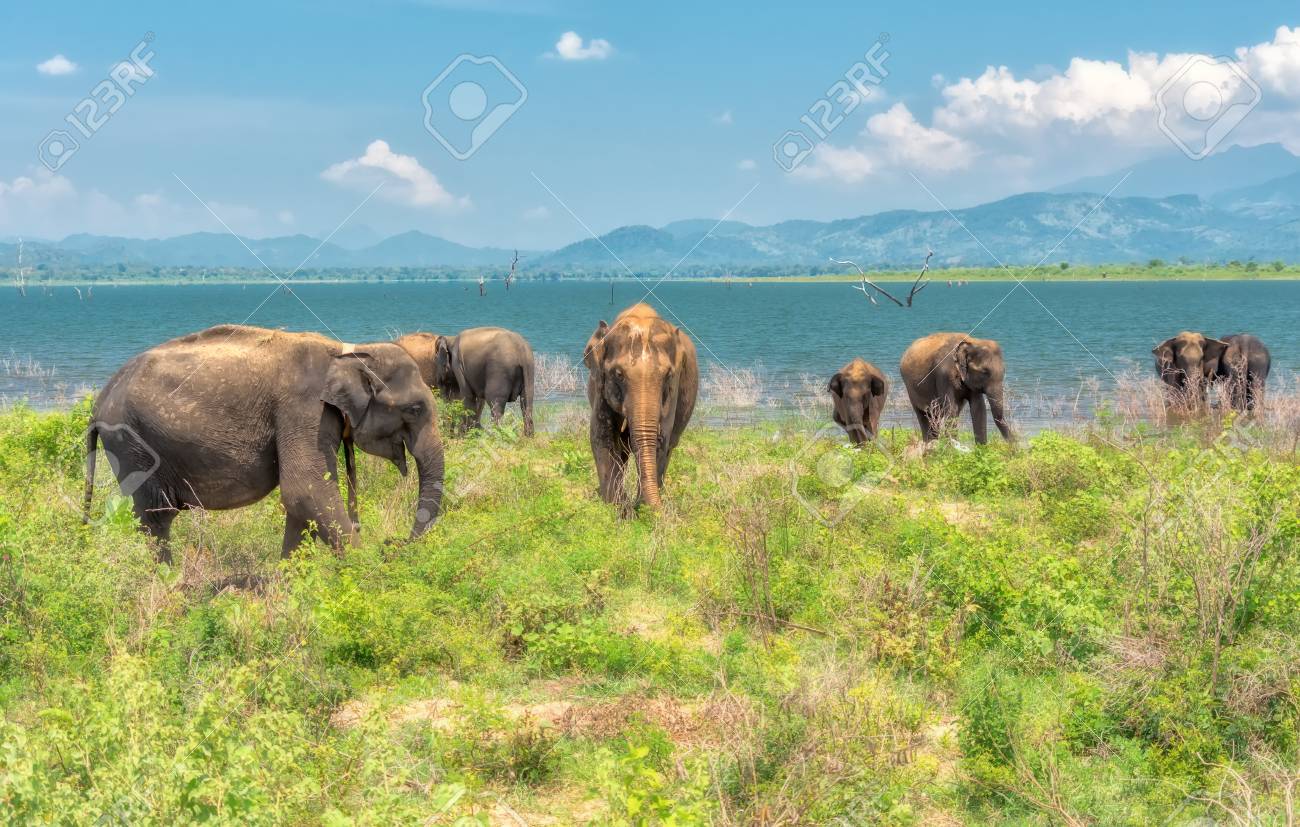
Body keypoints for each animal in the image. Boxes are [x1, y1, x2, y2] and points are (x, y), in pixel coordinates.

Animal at [84, 324, 445, 561]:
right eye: (414, 409)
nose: (393, 543)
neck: (346, 352)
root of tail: (99, 402)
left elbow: (302, 503)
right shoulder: (303, 410)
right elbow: (306, 490)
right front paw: (367, 575)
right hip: (132, 443)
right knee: (156, 519)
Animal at [402, 327, 535, 436]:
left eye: (436, 359)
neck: (451, 338)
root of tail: (521, 351)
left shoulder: (458, 364)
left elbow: (467, 396)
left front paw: (465, 435)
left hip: (499, 371)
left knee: (495, 405)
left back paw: (494, 436)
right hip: (529, 370)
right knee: (527, 404)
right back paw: (528, 439)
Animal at [583, 303, 698, 510]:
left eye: (668, 374)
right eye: (618, 374)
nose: (661, 509)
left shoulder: (673, 388)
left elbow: (661, 440)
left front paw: (640, 508)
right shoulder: (600, 388)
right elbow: (602, 437)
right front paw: (618, 510)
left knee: (670, 446)